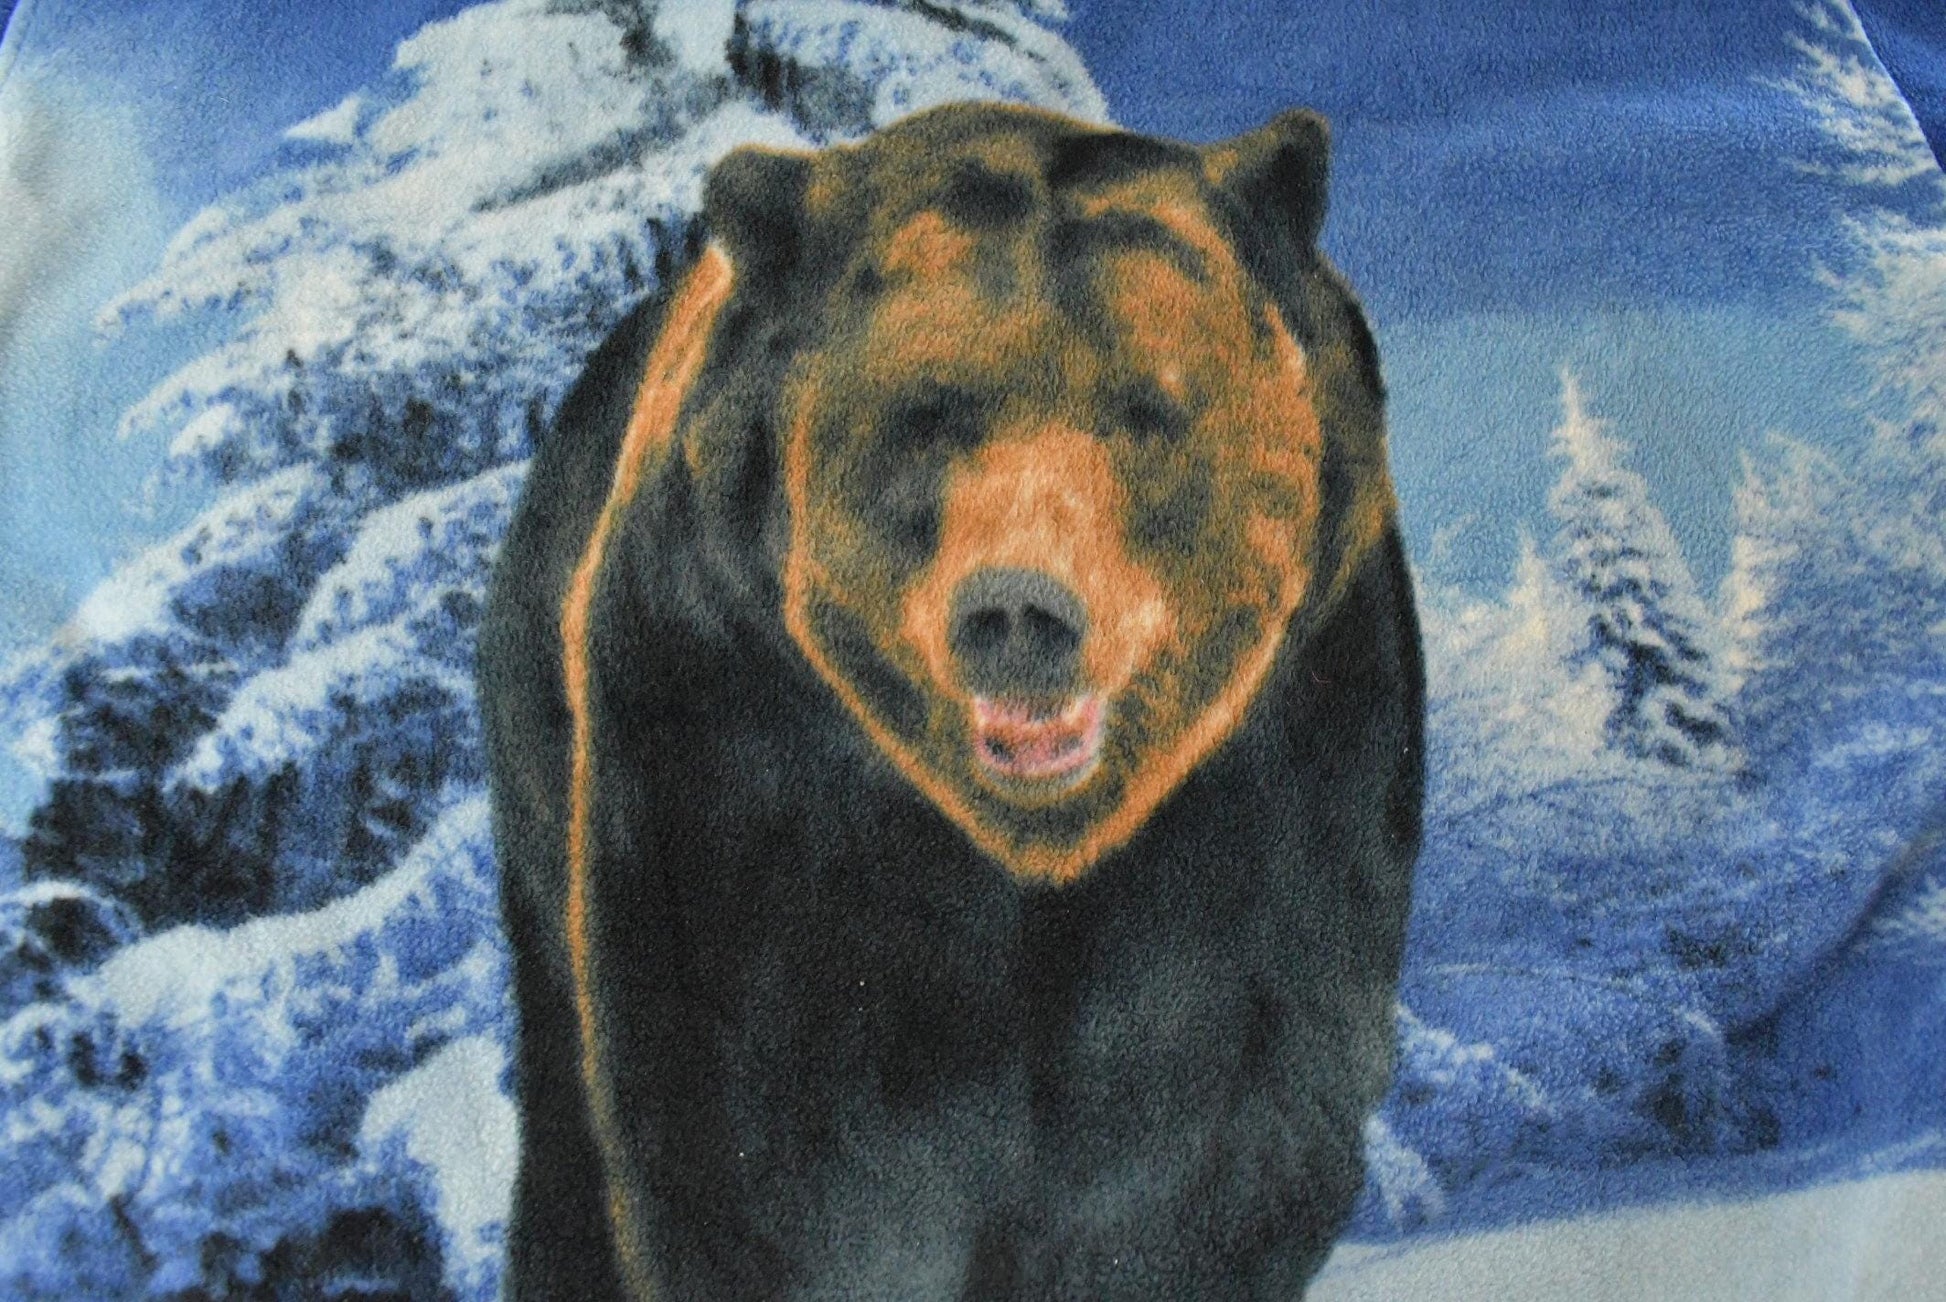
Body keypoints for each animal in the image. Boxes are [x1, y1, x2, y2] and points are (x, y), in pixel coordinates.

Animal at [478, 100, 1423, 1301]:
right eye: (927, 414)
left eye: (1147, 406)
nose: (1019, 608)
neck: (1027, 856)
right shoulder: (745, 768)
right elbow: (772, 1166)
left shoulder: (1279, 779)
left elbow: (1203, 1150)